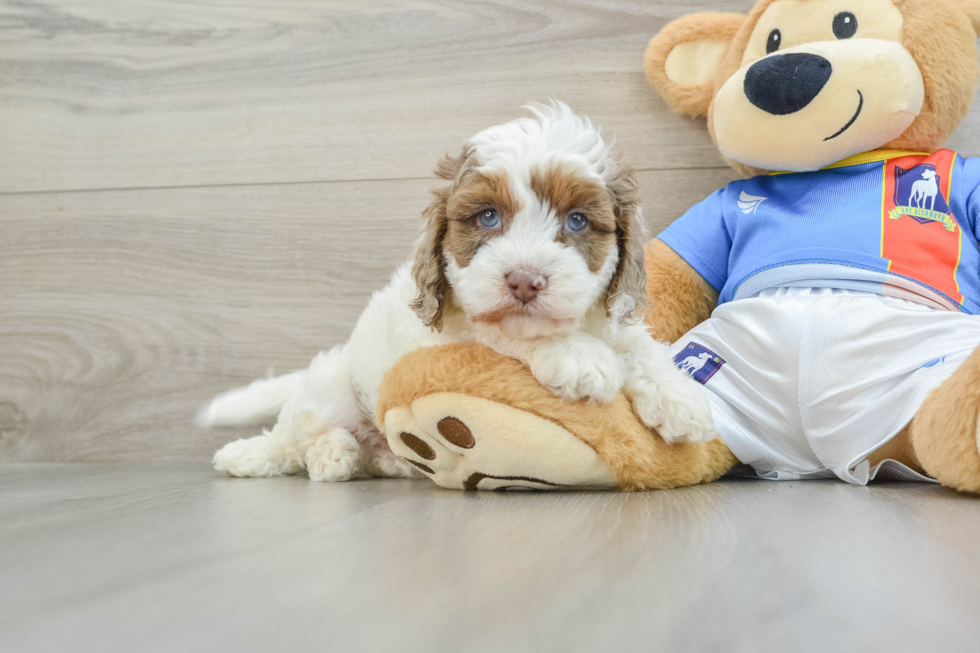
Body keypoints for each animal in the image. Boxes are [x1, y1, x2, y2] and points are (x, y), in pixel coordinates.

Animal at [203, 102, 716, 478]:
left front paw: (680, 397)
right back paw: (297, 456)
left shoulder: (610, 317)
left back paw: (378, 457)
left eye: (576, 221)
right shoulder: (448, 335)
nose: (524, 281)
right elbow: (498, 332)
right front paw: (577, 355)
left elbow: (638, 344)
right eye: (488, 216)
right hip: (332, 393)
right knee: (294, 439)